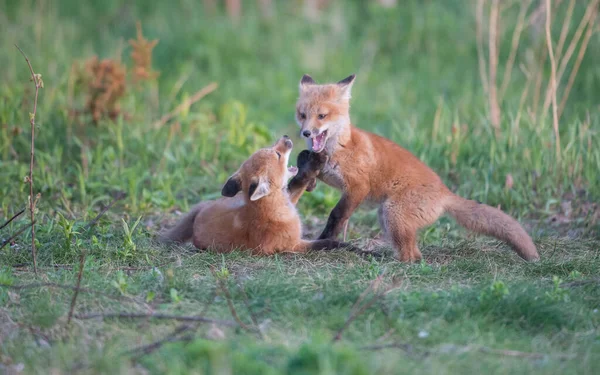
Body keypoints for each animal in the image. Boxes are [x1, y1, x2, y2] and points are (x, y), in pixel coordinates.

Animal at [159, 135, 356, 256]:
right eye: (277, 154)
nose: (286, 137)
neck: (273, 209)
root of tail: (199, 217)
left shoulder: (290, 200)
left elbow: (297, 184)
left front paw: (313, 164)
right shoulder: (293, 245)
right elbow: (328, 244)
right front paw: (353, 248)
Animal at [298, 73, 540, 262]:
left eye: (322, 116)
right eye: (302, 115)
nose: (306, 133)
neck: (340, 148)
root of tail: (445, 192)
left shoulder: (358, 186)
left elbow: (337, 215)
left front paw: (324, 239)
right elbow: (311, 168)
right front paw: (308, 179)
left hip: (393, 214)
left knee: (412, 257)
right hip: (386, 216)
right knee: (414, 253)